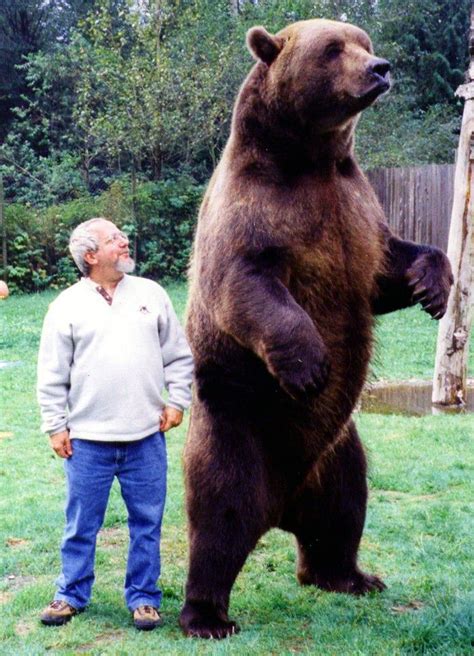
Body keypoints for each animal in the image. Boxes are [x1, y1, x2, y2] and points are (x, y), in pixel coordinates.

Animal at [180, 18, 454, 640]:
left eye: (363, 41)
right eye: (332, 49)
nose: (380, 68)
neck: (312, 159)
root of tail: (281, 505)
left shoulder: (358, 208)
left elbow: (387, 267)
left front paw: (433, 285)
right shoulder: (255, 210)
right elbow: (245, 282)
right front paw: (309, 365)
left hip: (337, 452)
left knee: (345, 507)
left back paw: (350, 576)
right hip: (239, 426)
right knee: (219, 517)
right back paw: (206, 615)